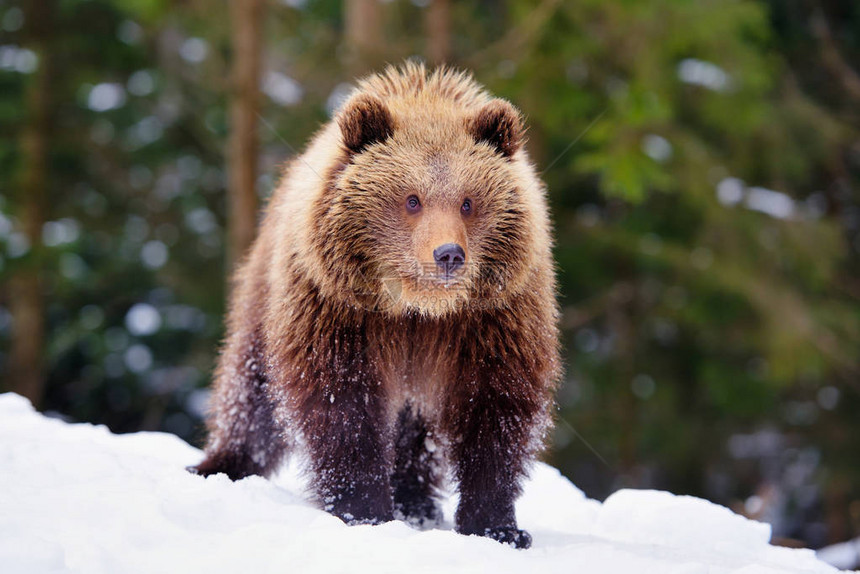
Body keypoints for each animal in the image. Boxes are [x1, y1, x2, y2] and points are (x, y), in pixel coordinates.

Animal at [191, 60, 560, 552]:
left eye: (468, 202)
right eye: (411, 199)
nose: (448, 254)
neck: (417, 310)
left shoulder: (493, 320)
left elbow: (495, 408)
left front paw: (497, 526)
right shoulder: (339, 312)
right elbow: (342, 401)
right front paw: (363, 509)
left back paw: (416, 504)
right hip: (267, 288)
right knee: (251, 388)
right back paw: (220, 465)